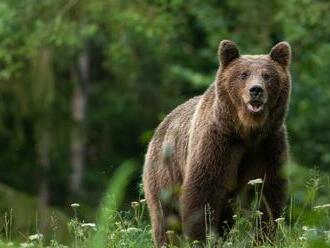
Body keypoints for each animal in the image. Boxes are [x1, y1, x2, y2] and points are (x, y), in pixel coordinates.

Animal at [142, 39, 292, 247]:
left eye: (267, 75)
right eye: (243, 74)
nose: (256, 90)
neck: (246, 131)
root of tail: (161, 125)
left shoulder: (267, 145)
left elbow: (268, 195)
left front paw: (264, 237)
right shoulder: (217, 143)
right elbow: (203, 194)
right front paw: (202, 238)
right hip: (165, 171)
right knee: (165, 217)